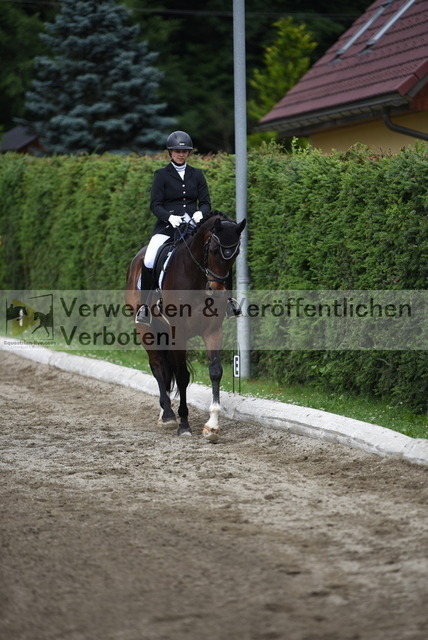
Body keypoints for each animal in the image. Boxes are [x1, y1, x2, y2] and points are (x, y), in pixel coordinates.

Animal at [125, 210, 246, 442]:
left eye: (236, 253)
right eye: (213, 250)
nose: (218, 291)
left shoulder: (213, 331)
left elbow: (215, 371)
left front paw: (212, 426)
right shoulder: (178, 333)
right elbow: (182, 376)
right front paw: (183, 424)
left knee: (164, 370)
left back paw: (163, 414)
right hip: (145, 330)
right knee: (157, 365)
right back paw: (168, 415)